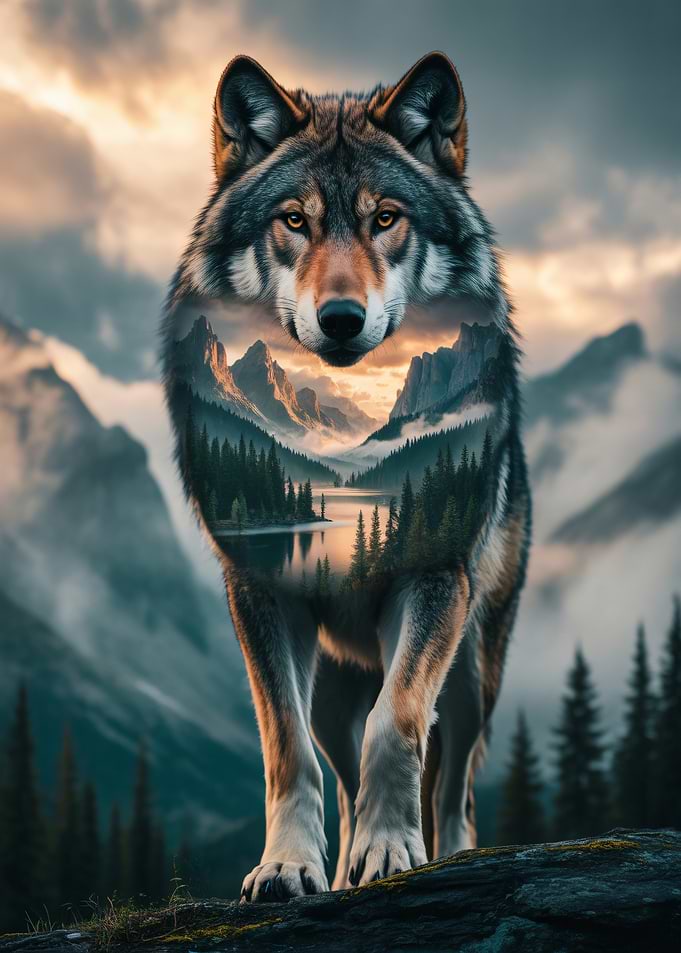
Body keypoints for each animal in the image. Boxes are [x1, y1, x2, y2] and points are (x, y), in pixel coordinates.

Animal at [162, 51, 531, 901]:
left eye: (384, 218)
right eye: (293, 220)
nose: (339, 320)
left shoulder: (432, 578)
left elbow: (397, 725)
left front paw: (393, 849)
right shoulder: (261, 592)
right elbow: (285, 747)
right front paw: (286, 865)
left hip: (474, 668)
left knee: (453, 780)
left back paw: (444, 853)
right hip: (335, 690)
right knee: (342, 758)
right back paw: (337, 872)